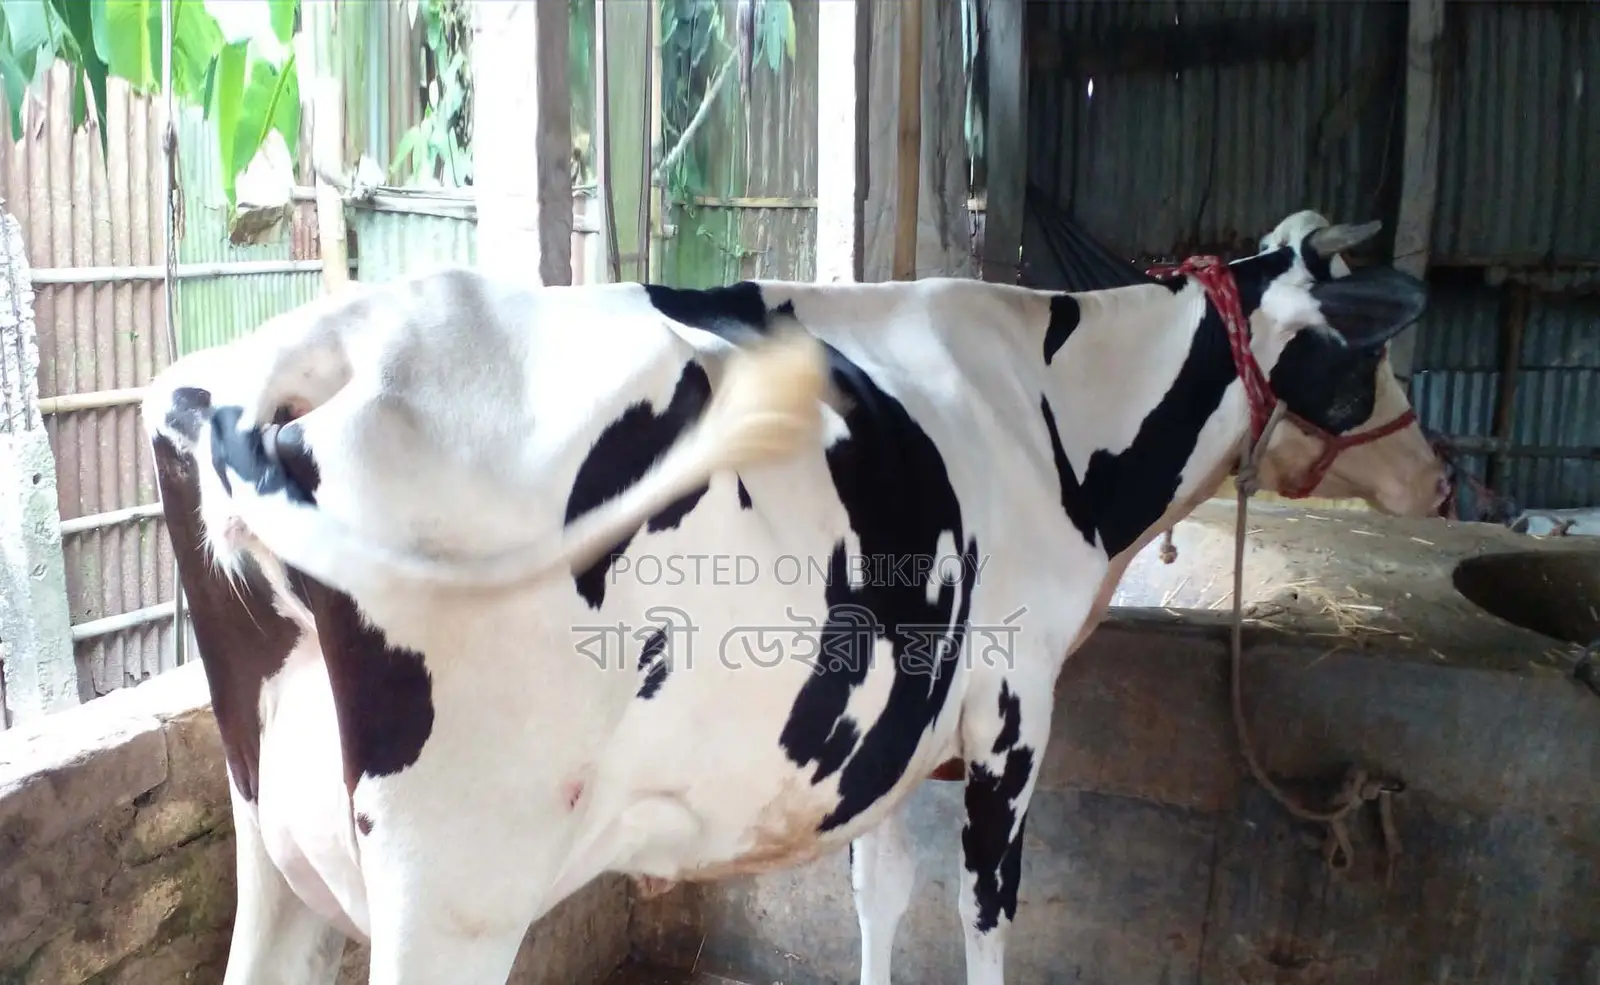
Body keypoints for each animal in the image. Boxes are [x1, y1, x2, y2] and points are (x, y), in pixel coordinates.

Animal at [142, 212, 1443, 985]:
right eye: (1368, 356)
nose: (1436, 479)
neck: (1047, 409)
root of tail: (312, 352)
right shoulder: (1011, 716)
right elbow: (983, 908)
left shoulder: (883, 741)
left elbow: (880, 887)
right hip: (452, 886)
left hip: (271, 833)